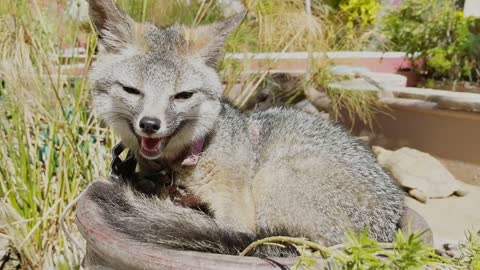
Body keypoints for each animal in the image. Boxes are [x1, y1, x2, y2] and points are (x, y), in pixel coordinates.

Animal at [85, 0, 404, 258]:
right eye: (131, 90)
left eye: (183, 95)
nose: (150, 124)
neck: (196, 154)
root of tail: (385, 233)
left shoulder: (237, 215)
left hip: (272, 179)